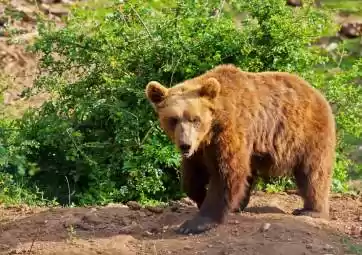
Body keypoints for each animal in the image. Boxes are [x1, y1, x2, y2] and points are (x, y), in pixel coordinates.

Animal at [144, 63, 336, 235]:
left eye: (195, 119)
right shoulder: (200, 149)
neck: (212, 128)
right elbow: (192, 177)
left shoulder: (230, 130)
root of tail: (316, 92)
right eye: (173, 119)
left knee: (313, 173)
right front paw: (200, 197)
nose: (185, 145)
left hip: (306, 134)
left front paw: (196, 223)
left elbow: (227, 173)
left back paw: (311, 210)